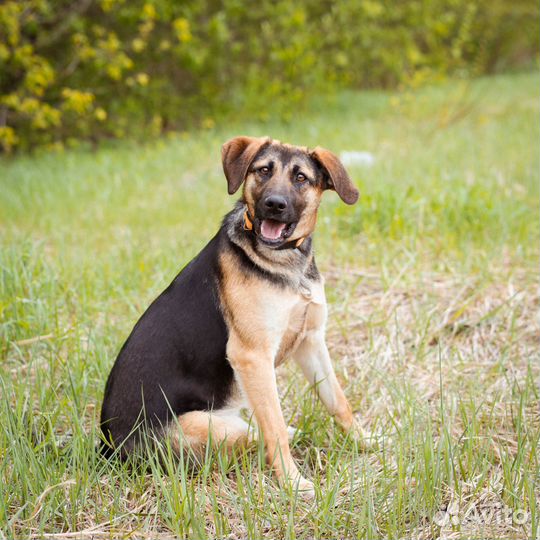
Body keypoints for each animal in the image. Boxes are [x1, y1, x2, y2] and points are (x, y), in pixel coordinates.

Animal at [99, 136, 364, 494]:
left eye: (301, 178)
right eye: (263, 170)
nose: (274, 204)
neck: (283, 263)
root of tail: (108, 450)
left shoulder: (311, 341)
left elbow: (338, 401)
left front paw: (366, 441)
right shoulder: (252, 356)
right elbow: (274, 428)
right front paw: (292, 482)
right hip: (208, 425)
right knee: (256, 435)